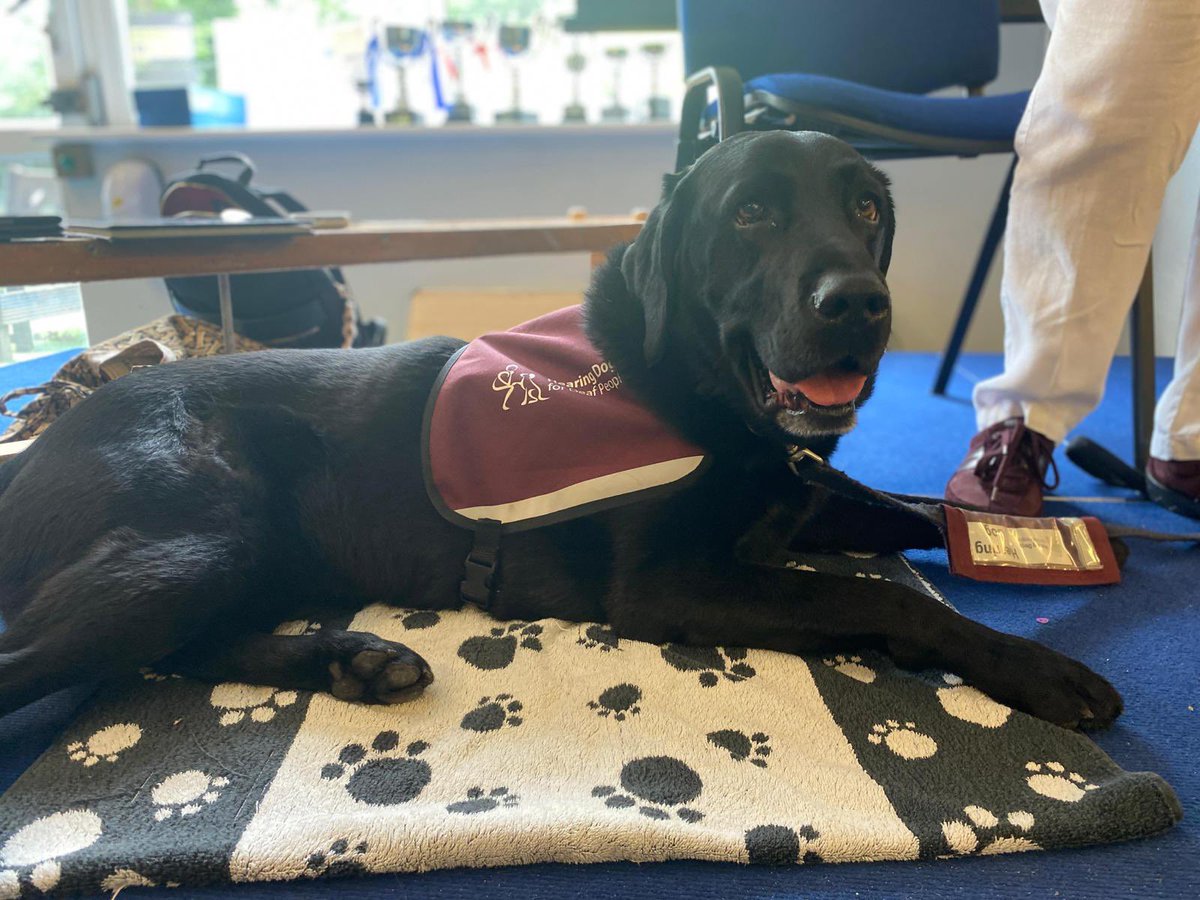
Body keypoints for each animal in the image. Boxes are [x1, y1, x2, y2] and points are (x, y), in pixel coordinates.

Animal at [0, 130, 1123, 729]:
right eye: (751, 214)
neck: (698, 393)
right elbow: (877, 596)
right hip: (189, 540)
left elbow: (909, 512)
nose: (859, 303)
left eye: (864, 209)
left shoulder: (799, 506)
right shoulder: (669, 579)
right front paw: (1042, 671)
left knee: (182, 651)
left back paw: (352, 660)